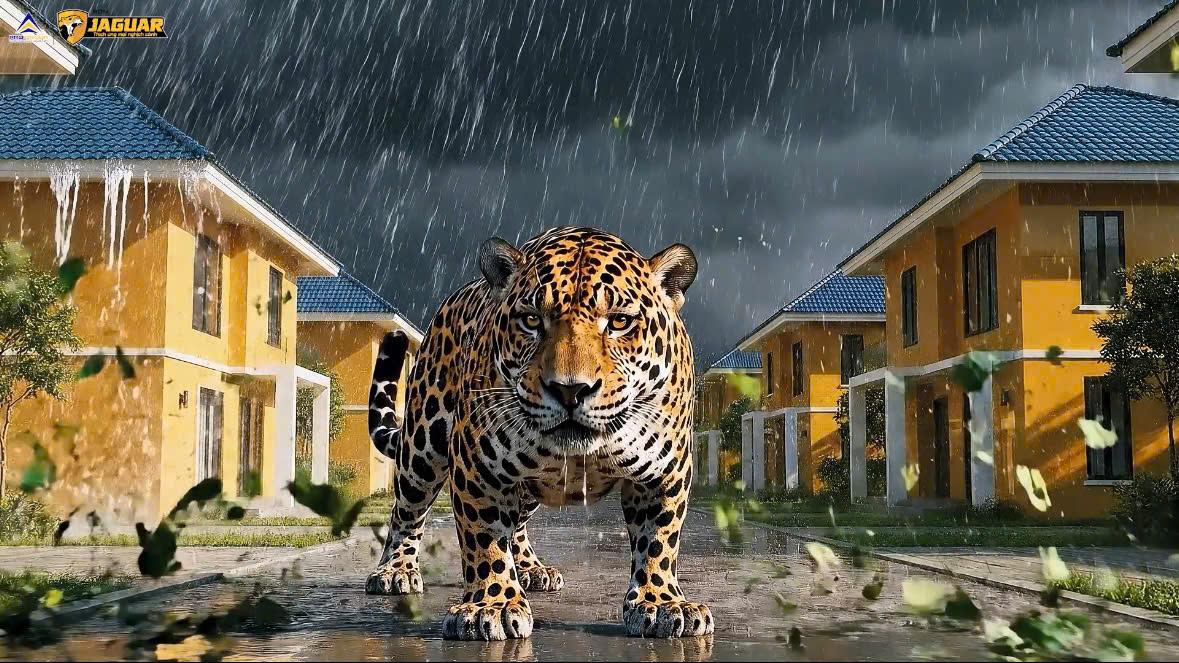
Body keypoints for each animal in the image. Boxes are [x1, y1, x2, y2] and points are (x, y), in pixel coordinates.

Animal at [365, 226, 710, 641]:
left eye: (619, 322)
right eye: (531, 320)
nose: (570, 390)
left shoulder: (664, 473)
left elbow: (658, 541)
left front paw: (660, 602)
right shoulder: (476, 468)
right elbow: (484, 540)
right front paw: (491, 606)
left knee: (517, 521)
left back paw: (530, 568)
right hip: (423, 444)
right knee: (407, 511)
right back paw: (394, 571)